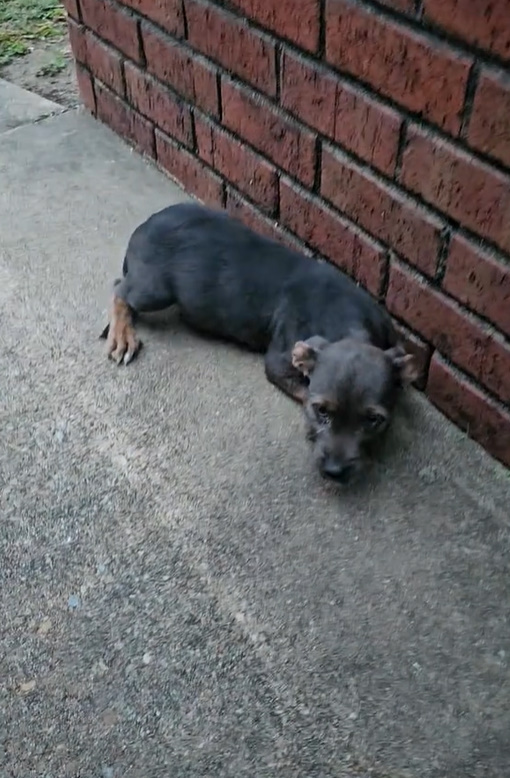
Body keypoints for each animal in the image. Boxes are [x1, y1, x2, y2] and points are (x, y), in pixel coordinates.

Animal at [101, 202, 416, 478]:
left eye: (373, 419)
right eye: (321, 410)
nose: (334, 473)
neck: (346, 319)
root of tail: (146, 224)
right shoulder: (279, 363)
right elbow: (302, 389)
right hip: (155, 289)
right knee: (120, 290)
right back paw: (122, 335)